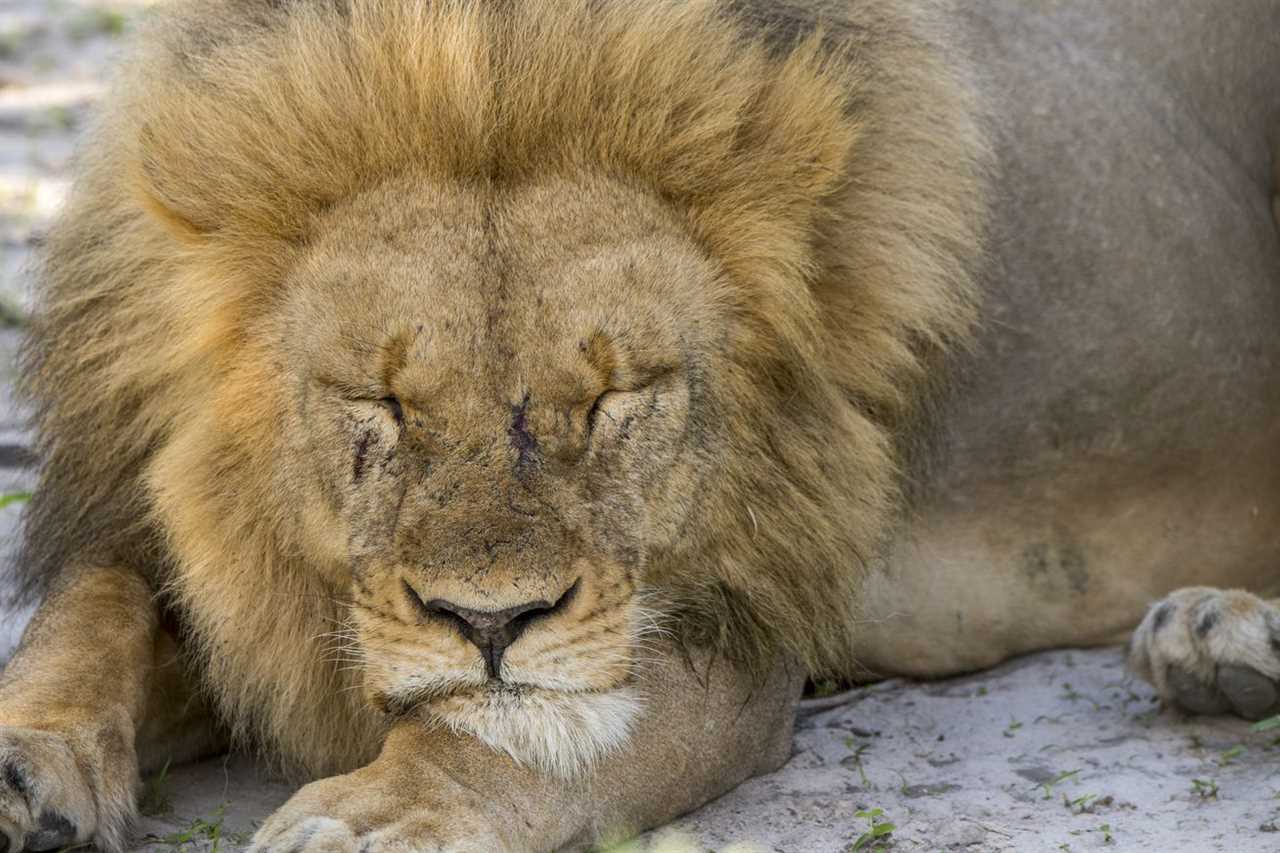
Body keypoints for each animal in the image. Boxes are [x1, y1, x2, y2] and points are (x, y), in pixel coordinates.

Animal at [2, 0, 1280, 845]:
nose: (490, 622)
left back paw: (1223, 634)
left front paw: (373, 814)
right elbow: (89, 614)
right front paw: (25, 763)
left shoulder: (741, 623)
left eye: (613, 401)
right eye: (384, 404)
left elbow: (510, 731)